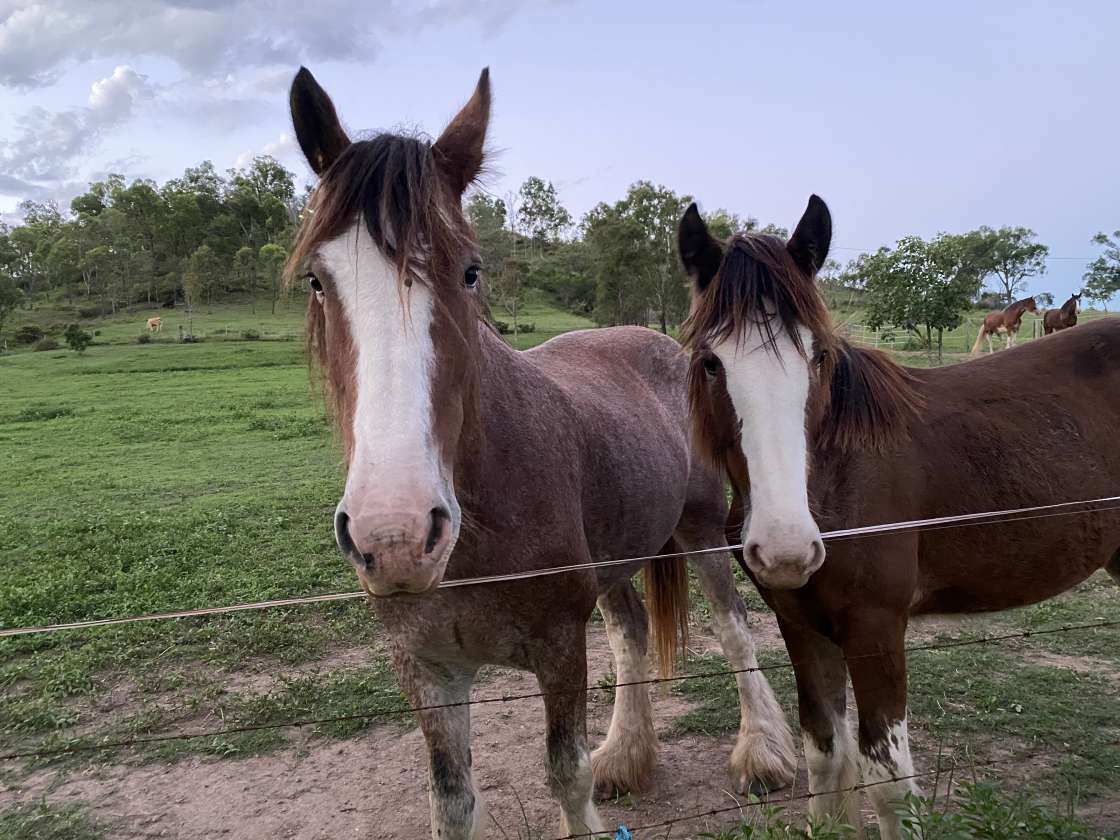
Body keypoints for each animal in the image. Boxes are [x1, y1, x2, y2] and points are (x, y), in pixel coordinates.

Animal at [288, 69, 797, 837]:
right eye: (318, 281)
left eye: (470, 272)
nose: (396, 536)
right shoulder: (427, 669)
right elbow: (451, 801)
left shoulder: (559, 649)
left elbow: (565, 773)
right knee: (632, 633)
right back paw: (628, 755)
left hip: (704, 529)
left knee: (735, 631)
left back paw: (763, 752)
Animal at [672, 193, 1120, 837]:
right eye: (711, 362)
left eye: (820, 355)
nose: (786, 549)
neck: (838, 480)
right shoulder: (802, 627)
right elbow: (826, 758)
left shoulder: (876, 630)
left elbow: (888, 783)